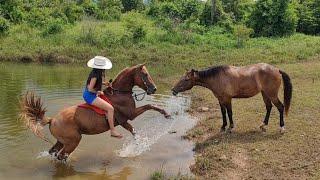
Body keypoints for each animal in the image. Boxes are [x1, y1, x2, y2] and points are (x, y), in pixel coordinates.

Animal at [19, 63, 170, 160]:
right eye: (145, 74)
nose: (154, 89)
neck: (119, 93)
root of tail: (52, 120)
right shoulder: (130, 116)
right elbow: (149, 106)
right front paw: (166, 114)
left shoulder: (125, 121)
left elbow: (134, 131)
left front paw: (137, 146)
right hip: (73, 141)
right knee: (61, 156)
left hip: (61, 141)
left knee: (54, 153)